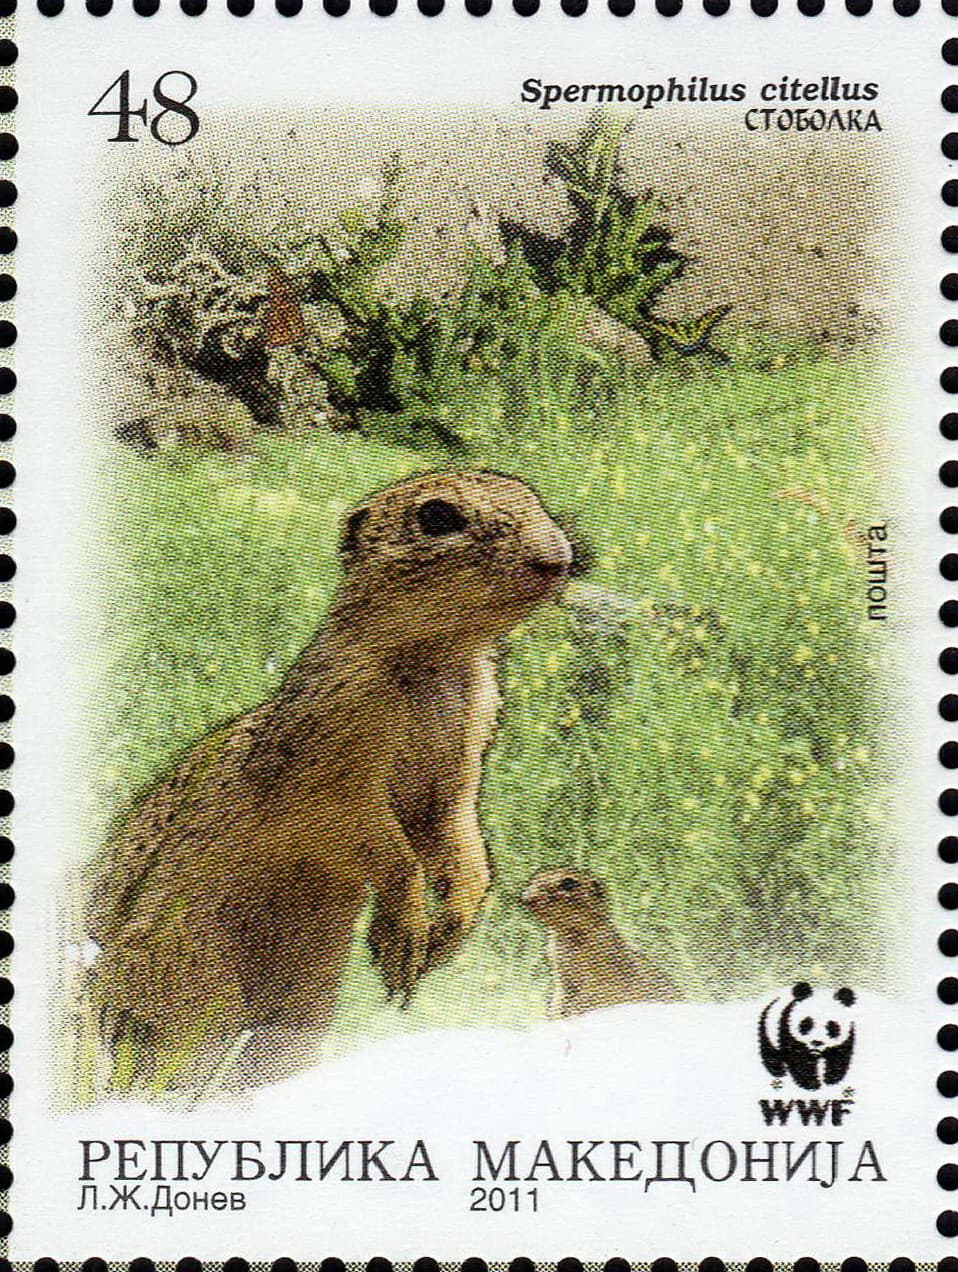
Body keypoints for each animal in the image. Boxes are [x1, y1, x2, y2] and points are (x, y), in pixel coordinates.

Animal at [85, 469, 574, 1084]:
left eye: (533, 496)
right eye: (436, 516)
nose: (558, 558)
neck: (435, 660)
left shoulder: (456, 775)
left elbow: (463, 842)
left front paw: (449, 930)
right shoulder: (333, 768)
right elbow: (391, 853)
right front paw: (405, 940)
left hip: (307, 1000)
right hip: (194, 976)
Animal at [520, 868, 679, 1017]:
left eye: (568, 883)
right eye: (534, 879)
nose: (527, 897)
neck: (571, 935)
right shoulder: (562, 976)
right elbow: (559, 1000)